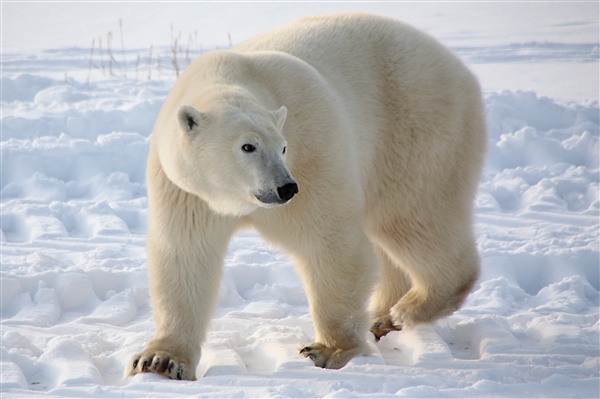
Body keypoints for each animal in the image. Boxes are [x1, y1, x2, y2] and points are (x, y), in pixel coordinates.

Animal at [126, 13, 488, 382]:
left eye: (282, 147)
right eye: (248, 146)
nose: (285, 187)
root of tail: (460, 68)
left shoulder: (313, 150)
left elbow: (329, 241)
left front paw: (329, 349)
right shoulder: (187, 191)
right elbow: (185, 254)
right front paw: (160, 360)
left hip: (415, 129)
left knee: (411, 215)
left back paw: (406, 309)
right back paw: (381, 316)